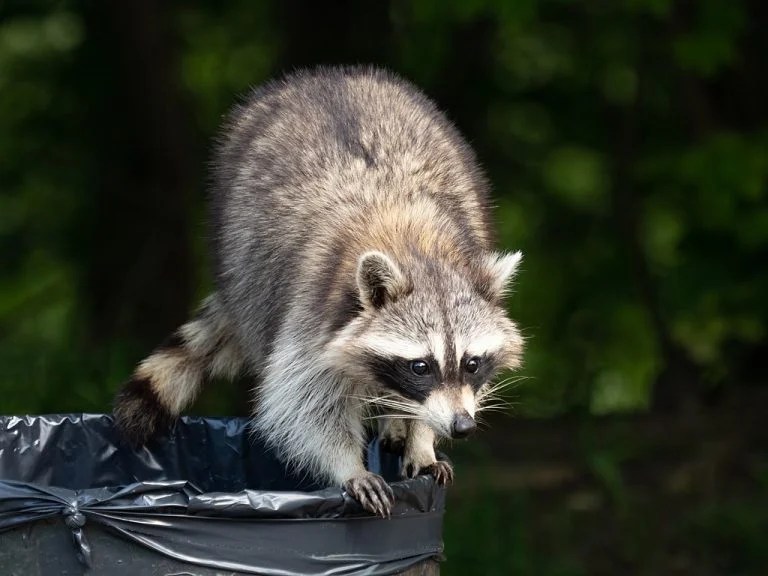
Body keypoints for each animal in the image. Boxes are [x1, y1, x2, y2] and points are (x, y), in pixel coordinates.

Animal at [114, 66, 524, 517]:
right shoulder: (315, 307)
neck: (415, 248)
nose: (461, 425)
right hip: (241, 256)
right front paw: (349, 465)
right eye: (420, 366)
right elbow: (302, 401)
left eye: (472, 363)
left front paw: (422, 438)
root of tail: (329, 75)